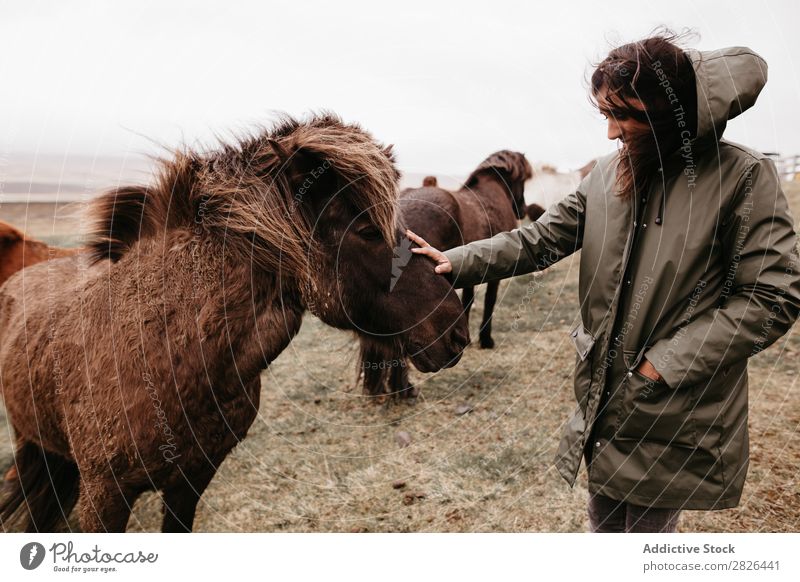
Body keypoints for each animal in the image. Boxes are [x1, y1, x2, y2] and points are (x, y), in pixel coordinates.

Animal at [0, 115, 472, 532]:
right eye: (368, 231)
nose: (456, 332)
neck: (170, 352)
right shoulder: (104, 496)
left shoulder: (191, 483)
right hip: (28, 442)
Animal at [360, 151, 528, 400]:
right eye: (523, 180)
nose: (523, 209)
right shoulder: (493, 278)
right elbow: (489, 302)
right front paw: (486, 340)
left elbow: (467, 301)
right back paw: (404, 389)